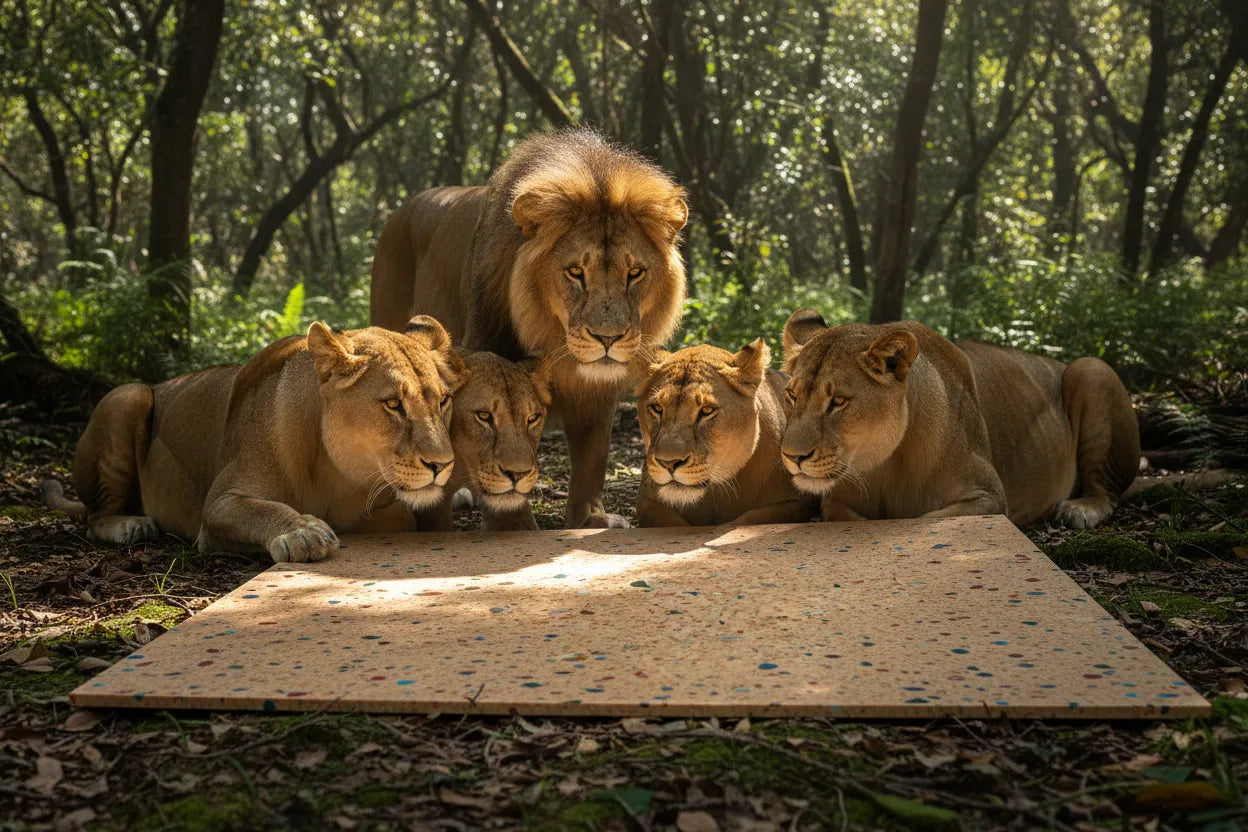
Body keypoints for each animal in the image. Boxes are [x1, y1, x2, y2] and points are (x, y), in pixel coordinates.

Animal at [43, 318, 465, 562]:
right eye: (393, 404)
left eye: (443, 401)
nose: (442, 465)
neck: (335, 472)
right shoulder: (217, 507)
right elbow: (260, 509)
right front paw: (301, 532)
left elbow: (403, 515)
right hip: (127, 395)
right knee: (94, 516)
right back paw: (130, 525)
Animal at [635, 341, 818, 527]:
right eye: (657, 408)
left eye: (707, 410)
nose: (669, 462)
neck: (715, 493)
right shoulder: (646, 502)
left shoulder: (795, 503)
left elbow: (743, 521)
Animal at [778, 308, 1140, 528]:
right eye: (792, 395)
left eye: (838, 401)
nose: (792, 457)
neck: (887, 464)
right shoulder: (835, 499)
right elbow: (839, 514)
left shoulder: (988, 497)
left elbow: (924, 518)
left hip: (1091, 368)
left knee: (1107, 491)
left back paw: (1079, 509)